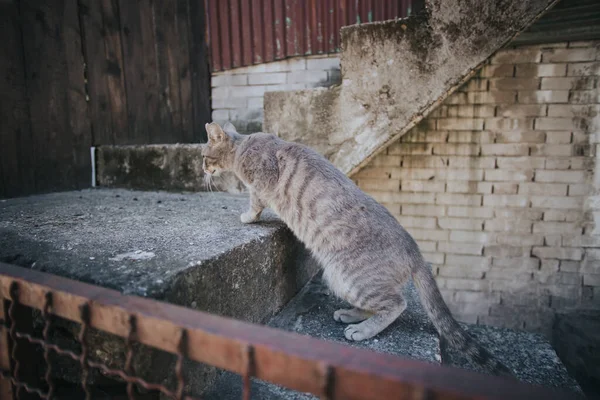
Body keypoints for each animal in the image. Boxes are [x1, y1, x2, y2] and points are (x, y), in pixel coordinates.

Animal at [202, 121, 510, 376]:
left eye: (204, 155)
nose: (203, 169)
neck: (244, 145)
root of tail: (416, 251)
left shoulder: (260, 183)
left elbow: (254, 204)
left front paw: (247, 217)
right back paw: (350, 314)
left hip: (346, 277)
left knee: (396, 304)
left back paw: (362, 331)